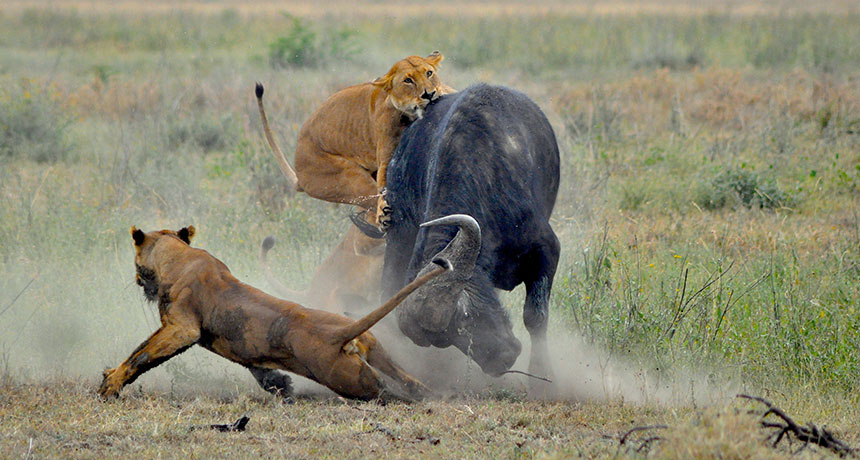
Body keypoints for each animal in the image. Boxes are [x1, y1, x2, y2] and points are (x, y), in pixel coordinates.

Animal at [98, 225, 450, 401]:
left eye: (136, 263)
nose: (137, 280)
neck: (177, 256)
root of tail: (340, 332)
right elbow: (255, 364)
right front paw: (280, 385)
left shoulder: (181, 328)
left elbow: (141, 354)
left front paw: (110, 385)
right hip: (377, 351)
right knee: (407, 379)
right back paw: (430, 393)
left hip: (351, 380)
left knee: (388, 392)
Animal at [256, 51, 454, 230]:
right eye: (408, 81)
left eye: (429, 73)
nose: (429, 94)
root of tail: (298, 171)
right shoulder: (386, 157)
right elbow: (384, 185)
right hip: (349, 178)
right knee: (371, 203)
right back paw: (381, 219)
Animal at [378, 83, 560, 378]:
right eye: (447, 340)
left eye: (463, 315)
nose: (502, 362)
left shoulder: (547, 251)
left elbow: (535, 317)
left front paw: (542, 375)